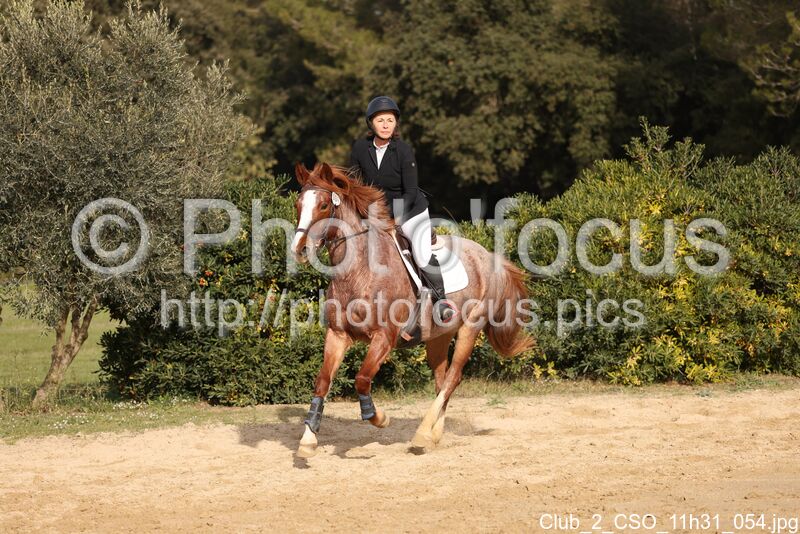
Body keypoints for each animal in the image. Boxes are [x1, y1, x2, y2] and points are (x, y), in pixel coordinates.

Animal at [290, 162, 536, 457]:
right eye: (298, 204)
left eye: (324, 205)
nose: (299, 250)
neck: (357, 270)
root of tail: (489, 256)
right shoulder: (337, 335)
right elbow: (323, 381)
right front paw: (308, 440)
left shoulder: (384, 337)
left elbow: (362, 379)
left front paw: (379, 418)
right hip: (439, 336)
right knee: (443, 380)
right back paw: (433, 435)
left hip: (470, 327)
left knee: (453, 378)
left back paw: (421, 434)